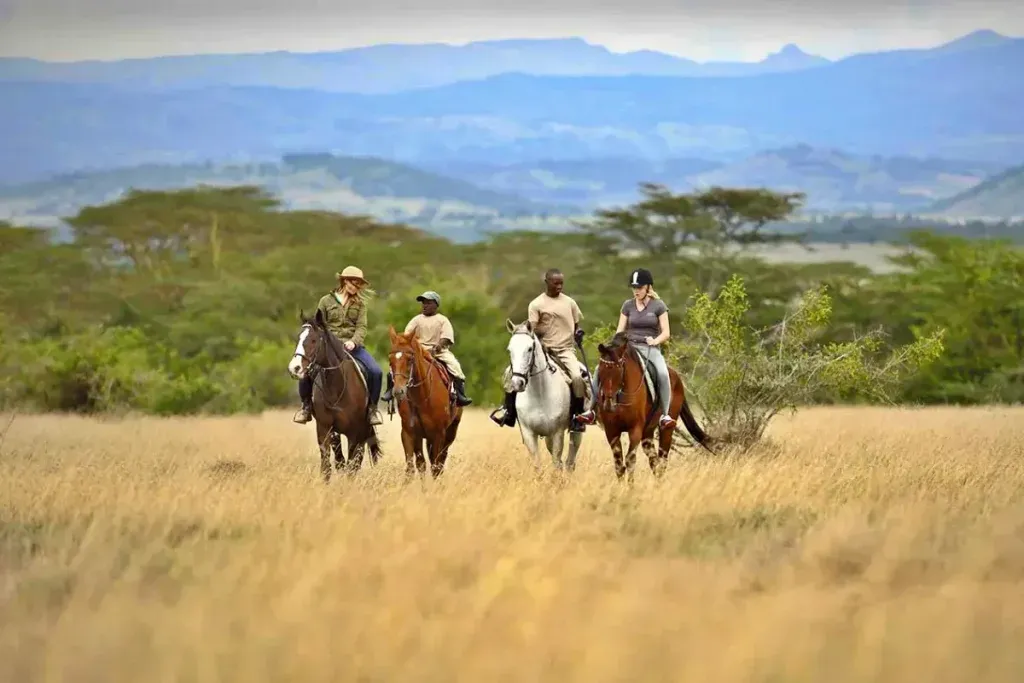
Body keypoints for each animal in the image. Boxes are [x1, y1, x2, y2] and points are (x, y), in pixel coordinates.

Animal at [386, 326, 463, 478]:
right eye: (390, 360)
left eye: (410, 359)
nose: (398, 391)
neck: (421, 398)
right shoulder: (409, 433)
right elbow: (415, 466)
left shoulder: (439, 434)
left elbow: (435, 467)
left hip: (451, 431)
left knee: (441, 460)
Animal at [502, 319, 591, 472]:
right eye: (509, 350)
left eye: (529, 348)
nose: (517, 383)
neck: (539, 394)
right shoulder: (529, 434)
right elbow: (538, 465)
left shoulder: (557, 433)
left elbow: (556, 463)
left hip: (575, 431)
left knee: (570, 459)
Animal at [594, 331, 713, 481]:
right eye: (601, 369)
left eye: (619, 369)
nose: (608, 403)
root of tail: (677, 377)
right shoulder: (612, 430)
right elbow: (619, 464)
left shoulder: (635, 429)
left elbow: (630, 460)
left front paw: (630, 487)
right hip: (647, 432)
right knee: (654, 461)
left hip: (666, 429)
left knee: (662, 460)